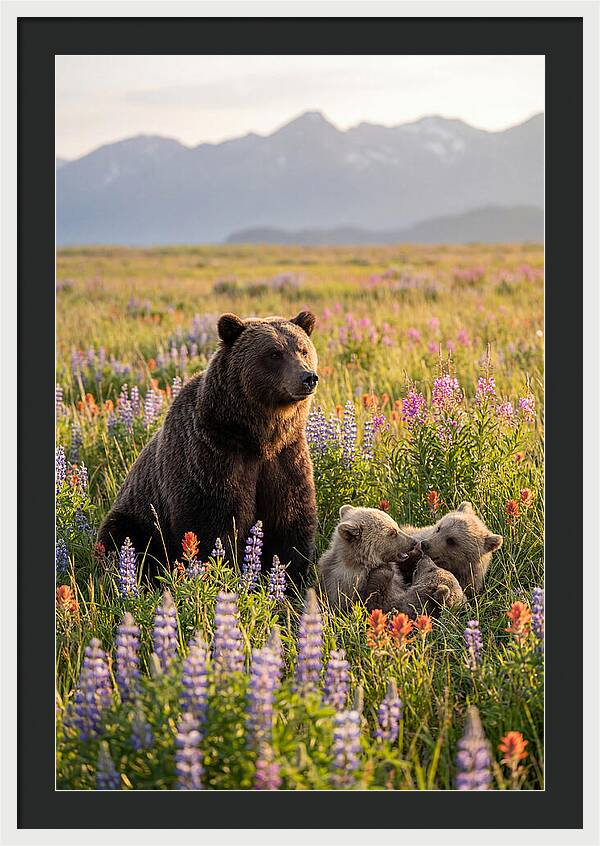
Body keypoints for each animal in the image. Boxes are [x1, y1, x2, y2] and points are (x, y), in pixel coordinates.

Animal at [98, 311, 319, 585]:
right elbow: (212, 524)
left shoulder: (286, 456)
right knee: (122, 538)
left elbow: (291, 519)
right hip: (137, 517)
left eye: (303, 350)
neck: (257, 436)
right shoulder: (212, 455)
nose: (307, 377)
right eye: (274, 353)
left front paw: (290, 581)